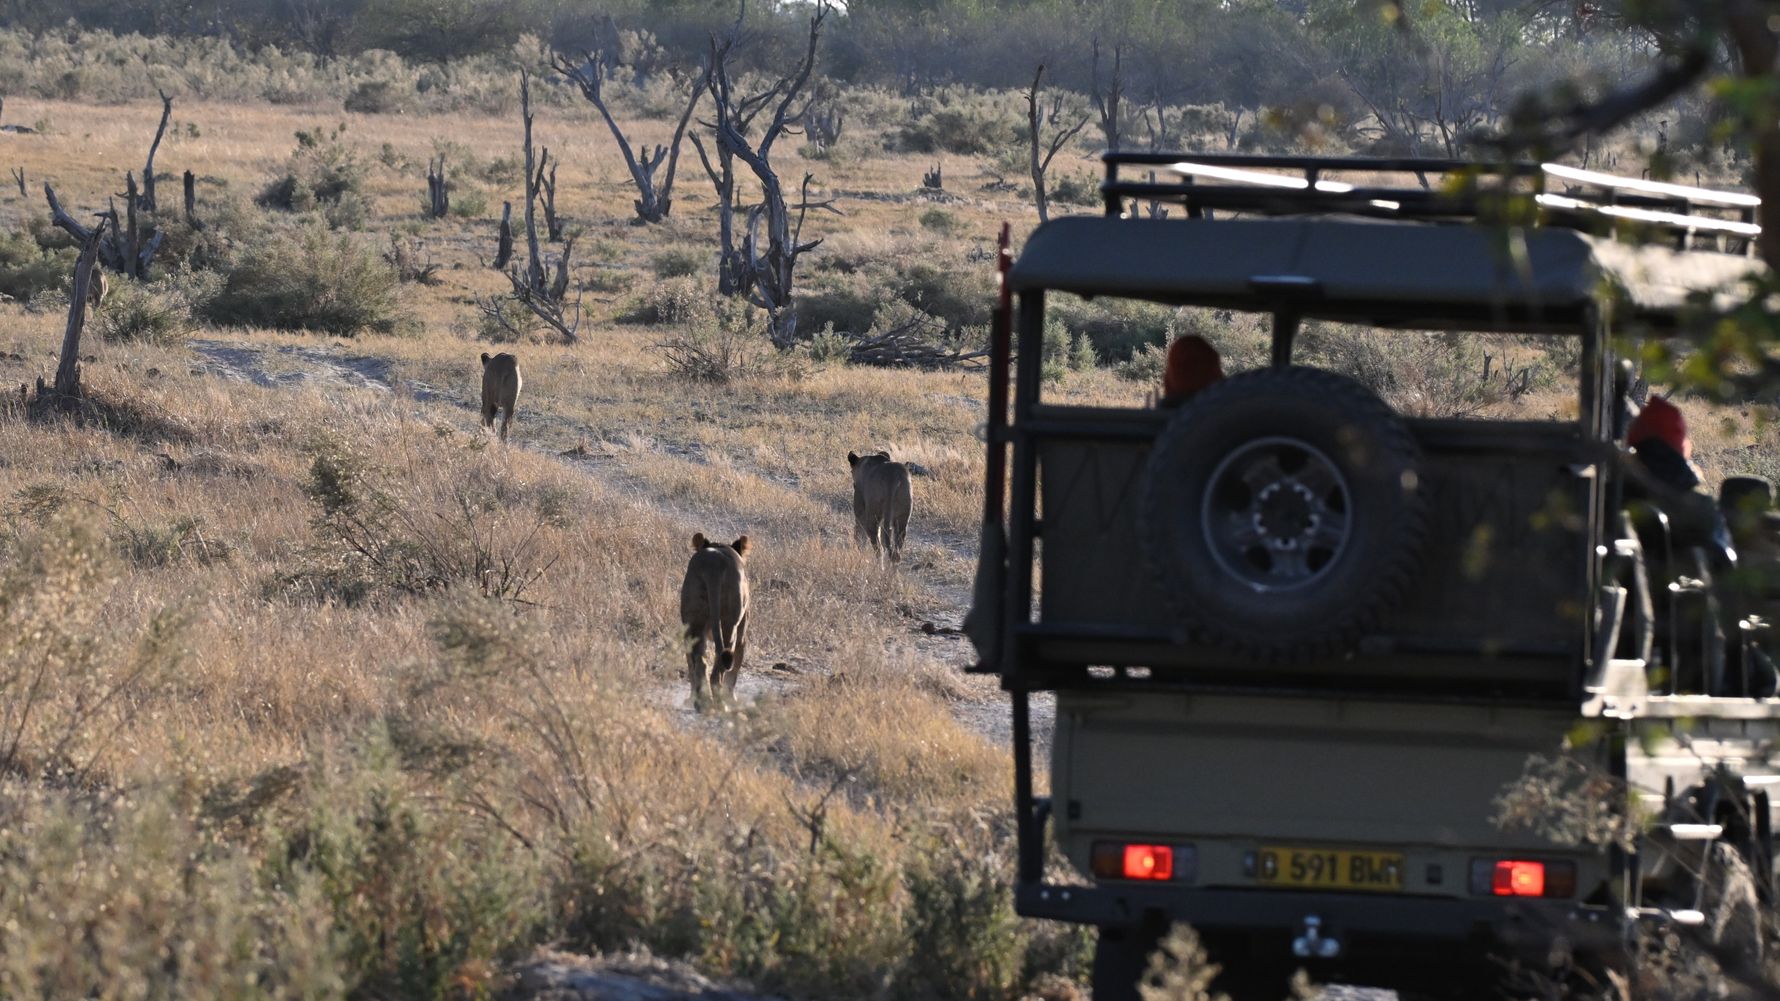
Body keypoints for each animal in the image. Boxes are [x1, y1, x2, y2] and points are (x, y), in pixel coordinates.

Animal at [680, 532, 752, 711]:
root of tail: (713, 564)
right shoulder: (742, 635)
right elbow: (734, 671)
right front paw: (732, 699)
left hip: (694, 621)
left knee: (700, 663)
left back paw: (702, 702)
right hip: (730, 624)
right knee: (720, 662)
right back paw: (720, 704)